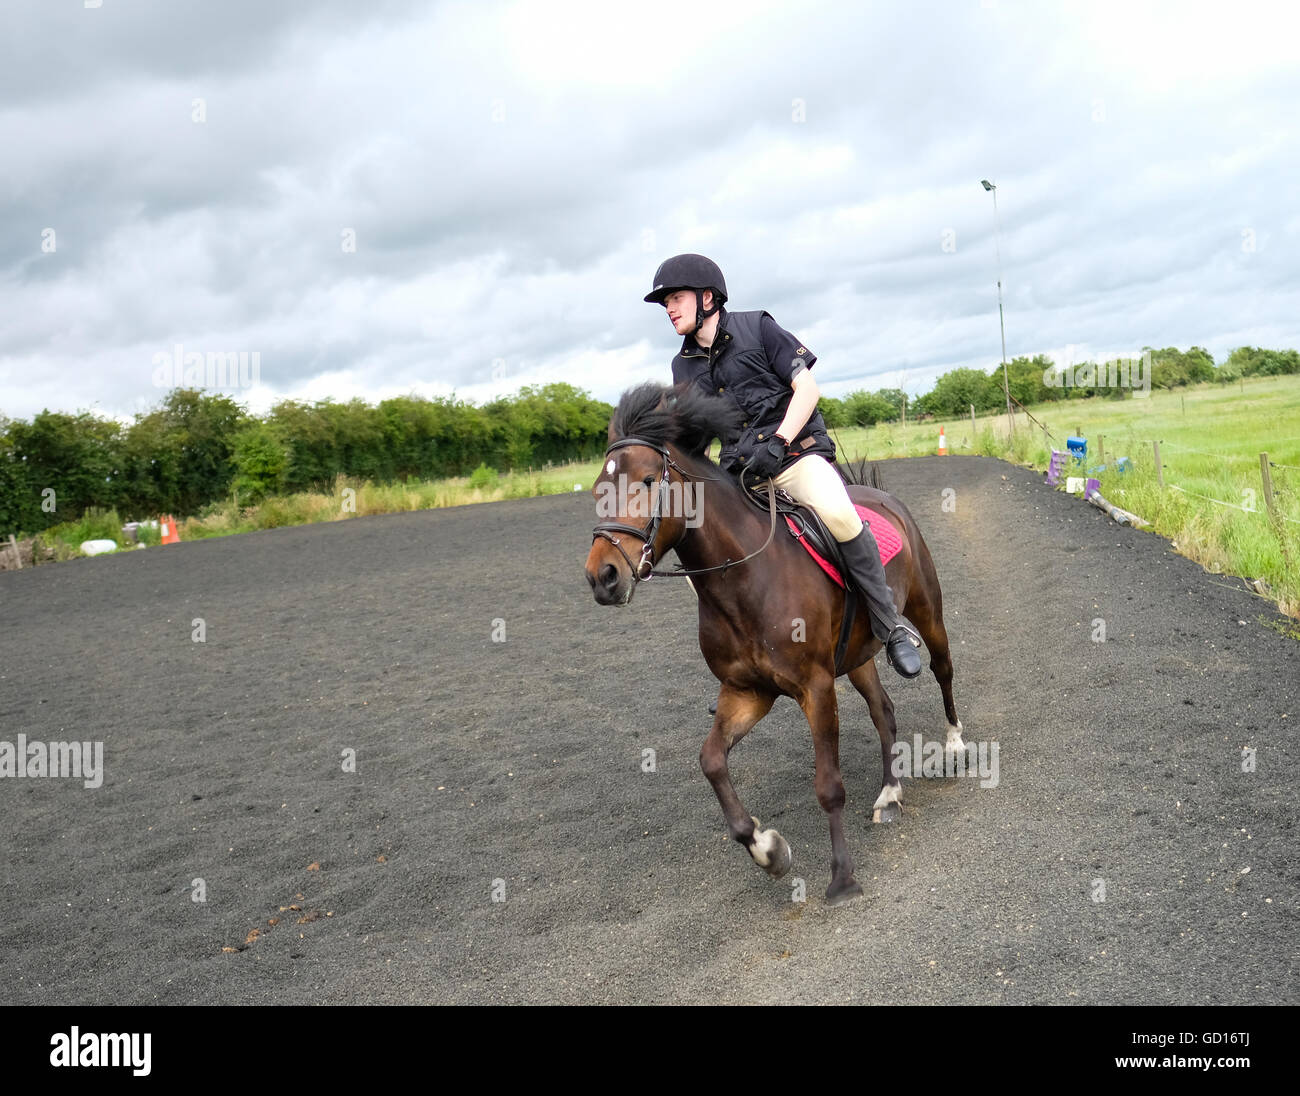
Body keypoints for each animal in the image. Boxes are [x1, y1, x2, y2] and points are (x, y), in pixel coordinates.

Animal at [584, 383, 964, 905]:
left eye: (645, 481)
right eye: (598, 490)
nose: (602, 577)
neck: (744, 580)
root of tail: (881, 498)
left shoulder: (815, 688)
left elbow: (829, 786)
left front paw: (842, 878)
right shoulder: (748, 692)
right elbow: (711, 761)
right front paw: (768, 850)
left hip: (928, 610)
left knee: (943, 669)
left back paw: (955, 743)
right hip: (856, 655)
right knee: (883, 710)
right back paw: (889, 795)